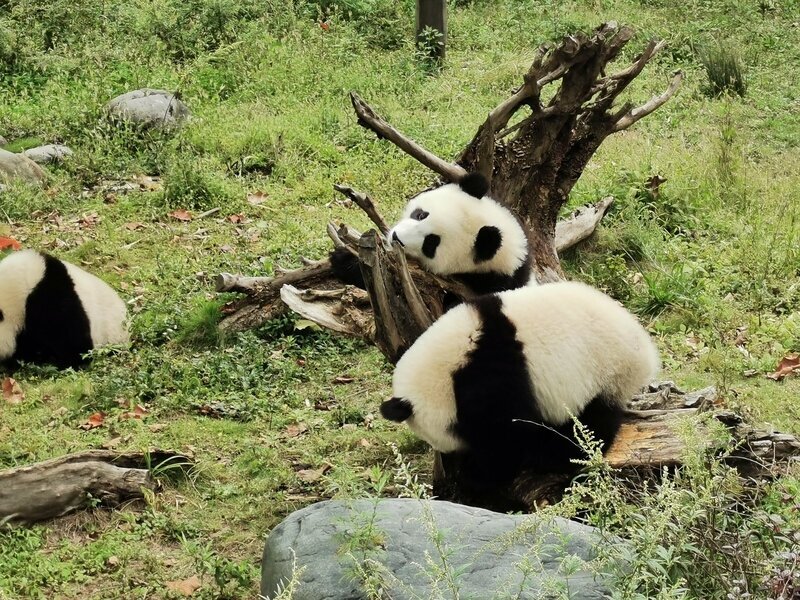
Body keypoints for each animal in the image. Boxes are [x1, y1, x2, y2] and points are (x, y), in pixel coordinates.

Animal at [380, 281, 659, 500]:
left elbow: (506, 437)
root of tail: (645, 353)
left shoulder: (490, 380)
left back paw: (554, 456)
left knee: (588, 426)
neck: (445, 370)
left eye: (436, 436)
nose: (449, 457)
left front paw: (475, 475)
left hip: (605, 375)